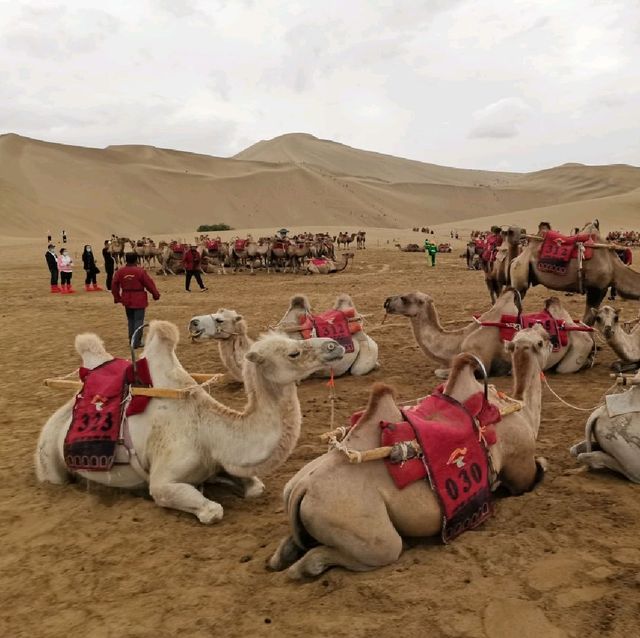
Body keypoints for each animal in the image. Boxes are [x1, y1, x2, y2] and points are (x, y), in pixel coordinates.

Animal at [33, 322, 344, 524]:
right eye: (293, 352)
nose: (335, 345)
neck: (210, 434)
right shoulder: (163, 481)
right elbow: (211, 511)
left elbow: (255, 487)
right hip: (48, 460)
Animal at [382, 292, 592, 378]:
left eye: (404, 298)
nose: (387, 302)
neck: (457, 344)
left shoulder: (480, 364)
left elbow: (440, 373)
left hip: (577, 350)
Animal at [512, 220, 640, 322]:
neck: (614, 267)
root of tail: (517, 258)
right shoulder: (596, 288)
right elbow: (588, 319)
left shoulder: (601, 289)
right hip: (520, 272)